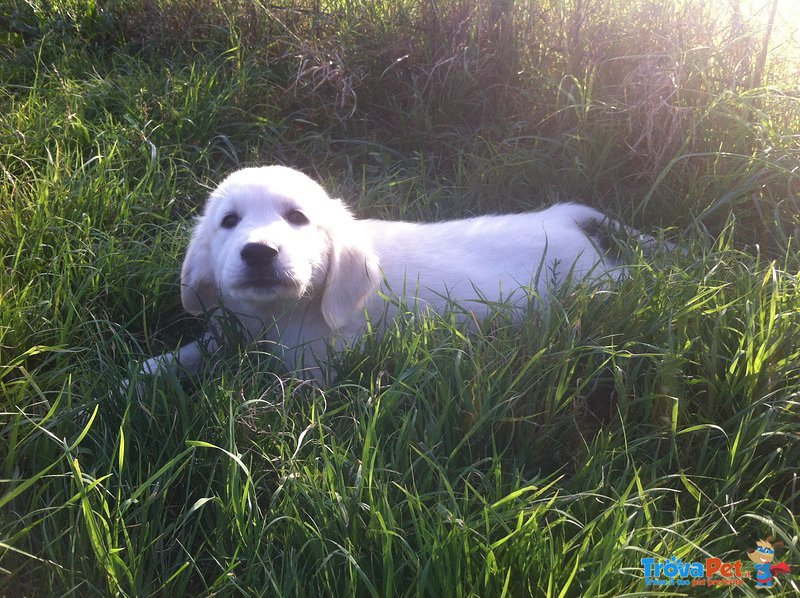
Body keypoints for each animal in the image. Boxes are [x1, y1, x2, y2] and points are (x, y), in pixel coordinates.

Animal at [141, 166, 632, 382]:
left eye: (297, 217)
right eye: (228, 221)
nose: (259, 252)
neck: (275, 315)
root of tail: (559, 215)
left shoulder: (316, 371)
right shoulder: (228, 333)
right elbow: (185, 355)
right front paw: (135, 379)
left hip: (591, 282)